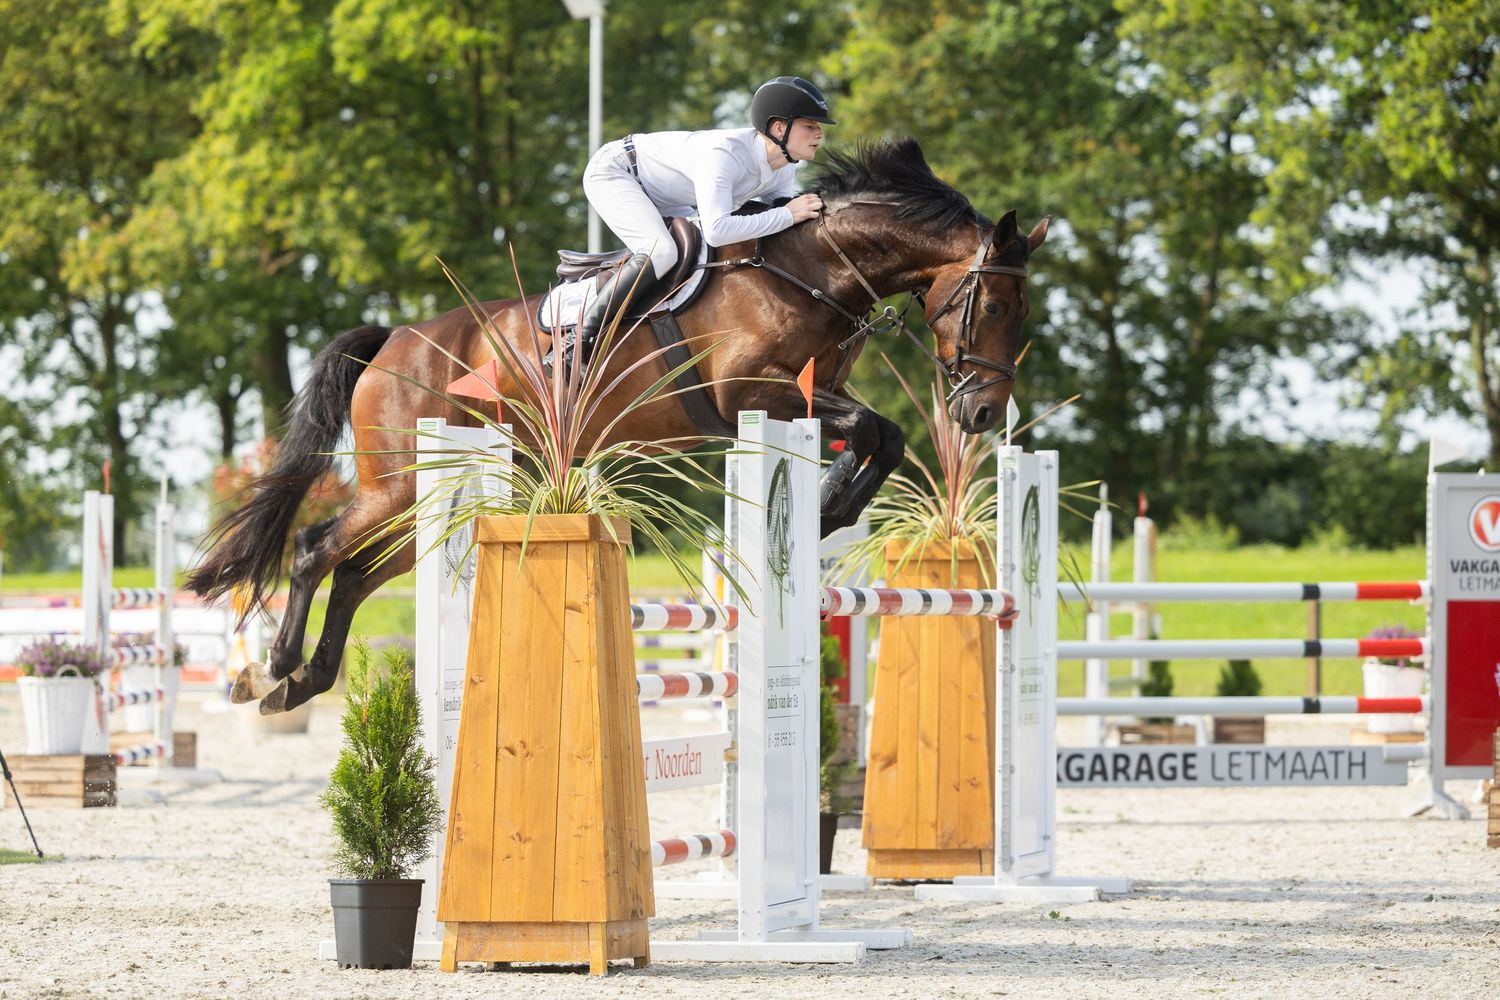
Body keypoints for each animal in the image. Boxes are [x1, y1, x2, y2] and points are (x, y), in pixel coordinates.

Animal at [187, 137, 1049, 714]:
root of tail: (394, 340)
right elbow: (873, 429)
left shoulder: (808, 395)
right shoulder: (748, 393)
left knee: (358, 573)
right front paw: (833, 504)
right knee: (314, 549)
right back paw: (280, 670)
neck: (811, 270)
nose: (982, 412)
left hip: (438, 499)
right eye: (996, 303)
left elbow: (883, 436)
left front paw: (832, 508)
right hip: (400, 485)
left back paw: (309, 679)